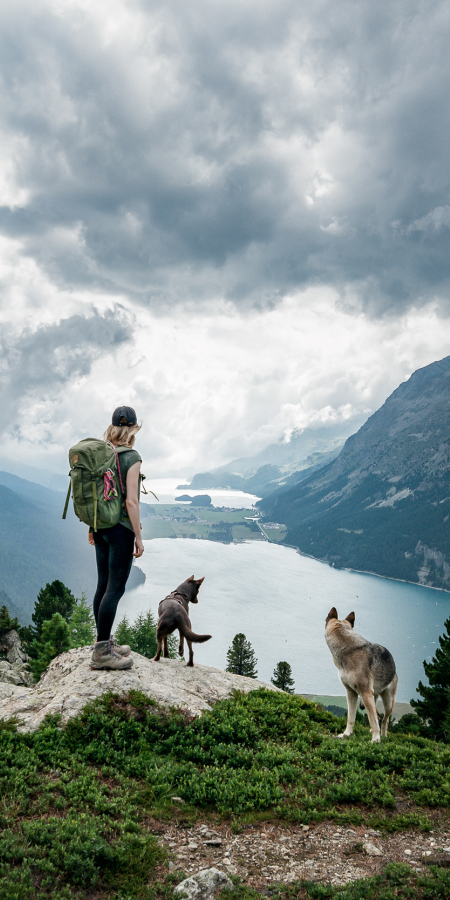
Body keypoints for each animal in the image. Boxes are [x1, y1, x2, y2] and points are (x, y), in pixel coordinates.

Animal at [324, 608, 398, 740]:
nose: (346, 734)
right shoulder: (351, 693)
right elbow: (351, 718)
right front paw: (346, 734)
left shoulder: (365, 692)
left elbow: (373, 721)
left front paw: (375, 740)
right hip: (371, 699)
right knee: (377, 716)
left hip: (388, 703)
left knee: (385, 720)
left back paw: (383, 736)